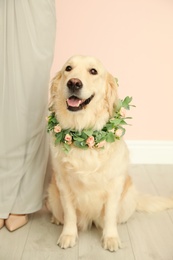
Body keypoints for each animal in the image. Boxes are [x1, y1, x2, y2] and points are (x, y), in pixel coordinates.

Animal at [46, 55, 173, 252]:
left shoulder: (114, 185)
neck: (83, 133)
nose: (74, 83)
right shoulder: (63, 184)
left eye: (93, 71)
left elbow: (110, 216)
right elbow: (70, 214)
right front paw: (68, 235)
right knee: (59, 213)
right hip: (52, 195)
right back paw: (56, 219)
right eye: (68, 68)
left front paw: (111, 238)